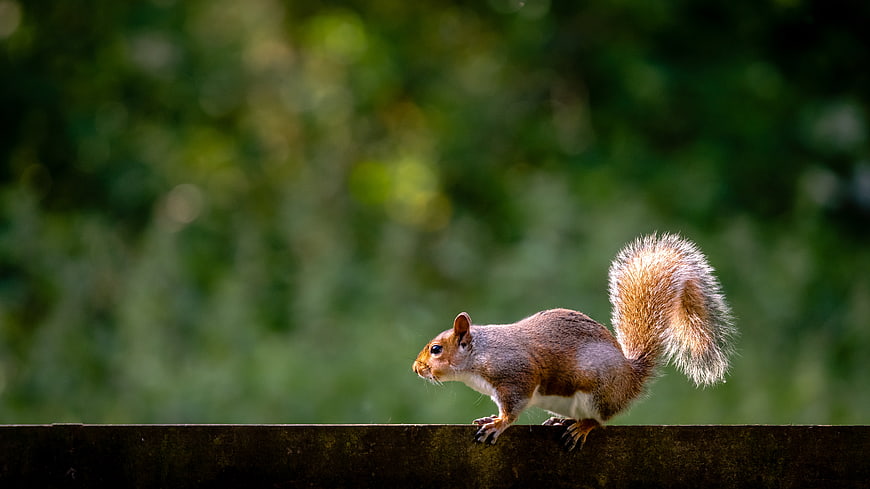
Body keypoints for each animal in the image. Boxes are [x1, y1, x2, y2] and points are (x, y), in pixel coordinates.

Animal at [412, 233, 736, 449]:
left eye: (436, 349)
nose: (416, 369)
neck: (481, 355)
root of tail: (630, 377)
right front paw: (489, 417)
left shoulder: (516, 374)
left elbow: (513, 408)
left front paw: (497, 424)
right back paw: (562, 421)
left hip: (598, 390)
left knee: (600, 419)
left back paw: (582, 427)